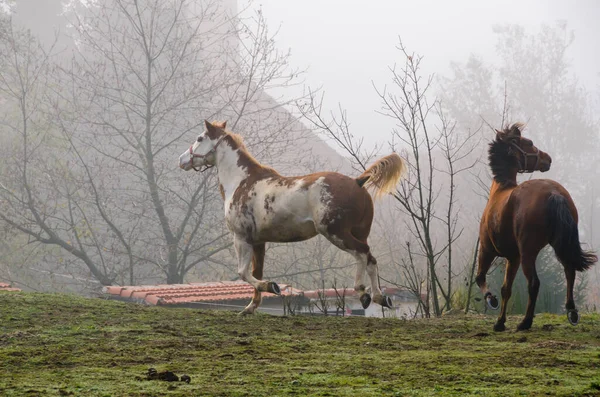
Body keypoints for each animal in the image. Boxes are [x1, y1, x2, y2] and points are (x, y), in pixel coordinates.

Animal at [177, 120, 404, 312]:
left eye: (199, 138)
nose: (181, 160)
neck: (241, 181)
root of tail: (358, 181)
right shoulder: (258, 242)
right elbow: (256, 273)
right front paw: (251, 306)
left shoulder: (241, 238)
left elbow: (243, 272)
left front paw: (272, 286)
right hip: (358, 232)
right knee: (370, 259)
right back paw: (379, 297)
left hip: (335, 232)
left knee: (362, 254)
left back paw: (362, 292)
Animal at [478, 123, 596, 332]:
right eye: (529, 143)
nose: (548, 159)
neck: (500, 192)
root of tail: (554, 192)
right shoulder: (513, 257)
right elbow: (506, 289)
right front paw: (500, 322)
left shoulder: (487, 250)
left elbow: (481, 278)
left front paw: (492, 302)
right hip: (559, 245)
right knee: (570, 270)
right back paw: (571, 312)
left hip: (528, 252)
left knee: (534, 283)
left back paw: (526, 322)